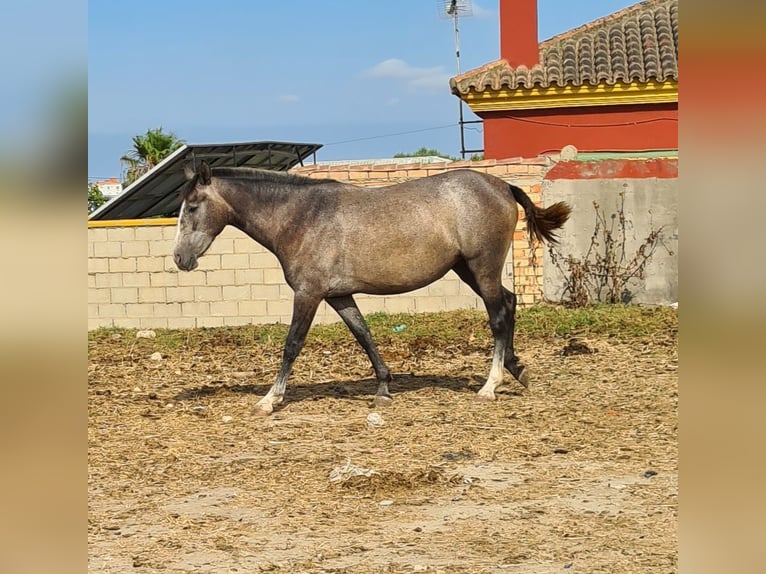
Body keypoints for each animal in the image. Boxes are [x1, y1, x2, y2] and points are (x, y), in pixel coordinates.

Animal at [174, 160, 568, 416]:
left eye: (192, 207)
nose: (180, 258)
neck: (302, 217)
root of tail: (502, 186)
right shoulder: (338, 295)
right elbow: (364, 335)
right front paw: (383, 389)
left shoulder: (308, 294)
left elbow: (292, 345)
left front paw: (270, 399)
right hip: (467, 269)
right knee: (510, 304)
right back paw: (518, 371)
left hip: (482, 268)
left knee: (498, 318)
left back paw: (490, 386)